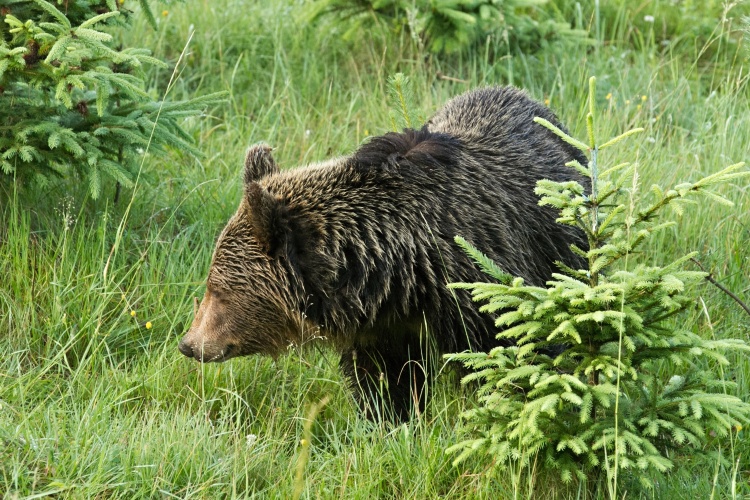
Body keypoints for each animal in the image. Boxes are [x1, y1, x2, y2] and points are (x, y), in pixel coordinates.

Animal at [179, 87, 592, 422]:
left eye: (219, 289)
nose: (189, 343)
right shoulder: (383, 329)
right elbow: (385, 382)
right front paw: (390, 422)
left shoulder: (485, 291)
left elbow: (519, 357)